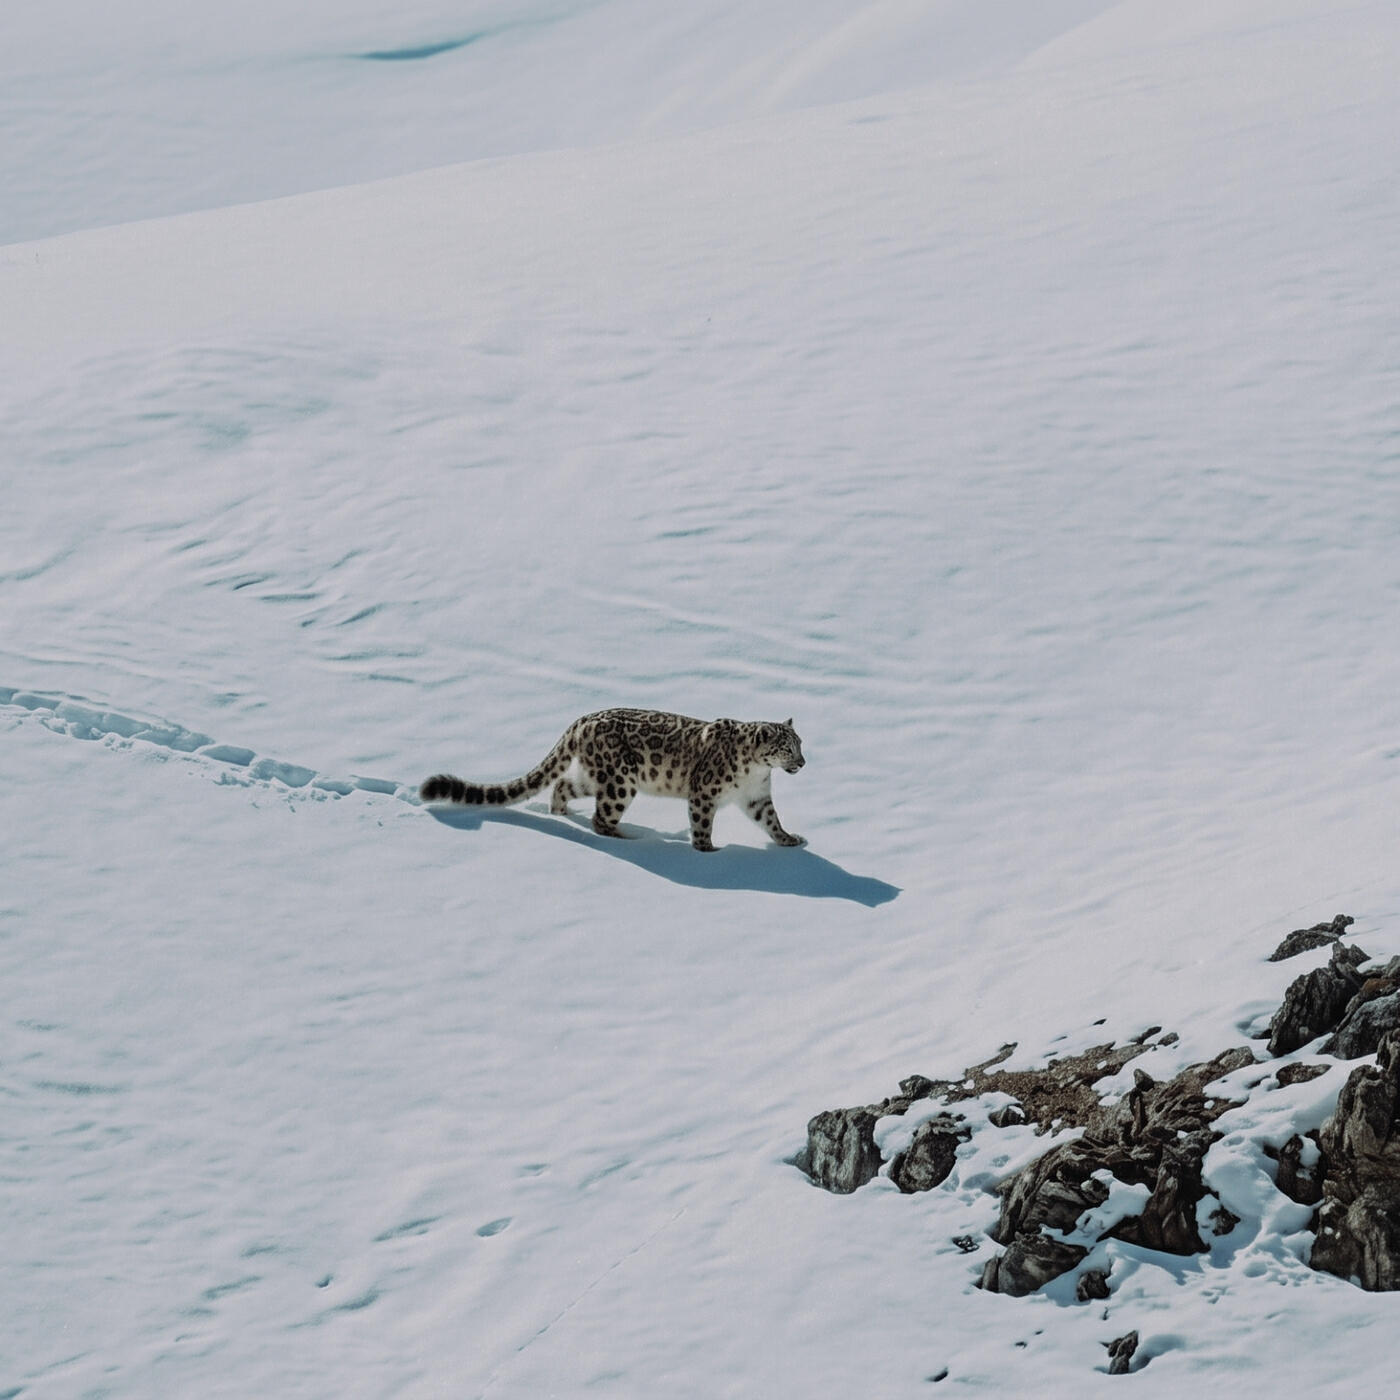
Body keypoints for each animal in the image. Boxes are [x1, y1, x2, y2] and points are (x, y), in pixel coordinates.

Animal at [420, 708, 805, 852]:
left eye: (800, 743)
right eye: (787, 747)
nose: (803, 762)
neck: (756, 772)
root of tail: (582, 720)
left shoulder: (757, 797)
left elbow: (771, 820)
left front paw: (790, 840)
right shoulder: (704, 794)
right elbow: (702, 824)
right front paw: (707, 850)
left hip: (598, 777)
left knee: (563, 786)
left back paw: (561, 814)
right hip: (619, 783)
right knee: (600, 817)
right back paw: (627, 837)